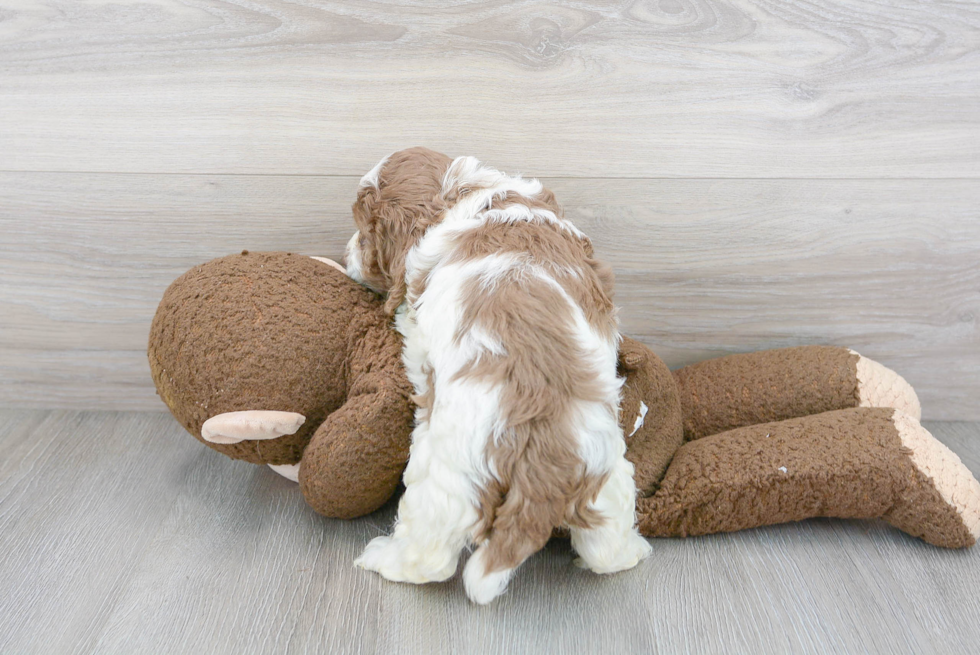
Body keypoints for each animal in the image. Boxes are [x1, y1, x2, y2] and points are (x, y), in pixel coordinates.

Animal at [344, 147, 652, 604]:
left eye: (364, 233)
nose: (346, 252)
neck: (462, 193)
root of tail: (542, 447)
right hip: (605, 471)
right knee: (605, 542)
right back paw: (631, 551)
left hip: (451, 477)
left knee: (431, 552)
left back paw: (386, 559)